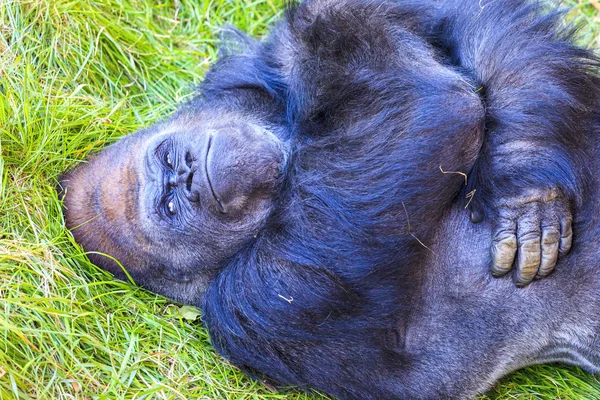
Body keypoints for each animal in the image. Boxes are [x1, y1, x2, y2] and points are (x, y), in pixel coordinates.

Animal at [57, 0, 600, 398]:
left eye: (167, 160)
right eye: (170, 208)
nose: (188, 173)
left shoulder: (249, 74)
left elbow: (455, 21)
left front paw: (526, 181)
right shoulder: (261, 308)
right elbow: (433, 105)